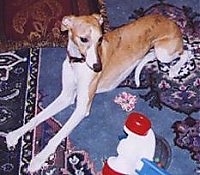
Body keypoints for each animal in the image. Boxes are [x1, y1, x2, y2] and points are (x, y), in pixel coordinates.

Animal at [2, 13, 189, 172]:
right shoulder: (66, 97)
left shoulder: (81, 108)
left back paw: (175, 69)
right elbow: (37, 118)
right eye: (84, 39)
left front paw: (38, 160)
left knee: (186, 52)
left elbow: (58, 135)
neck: (78, 64)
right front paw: (14, 135)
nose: (98, 67)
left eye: (100, 39)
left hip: (164, 52)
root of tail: (171, 21)